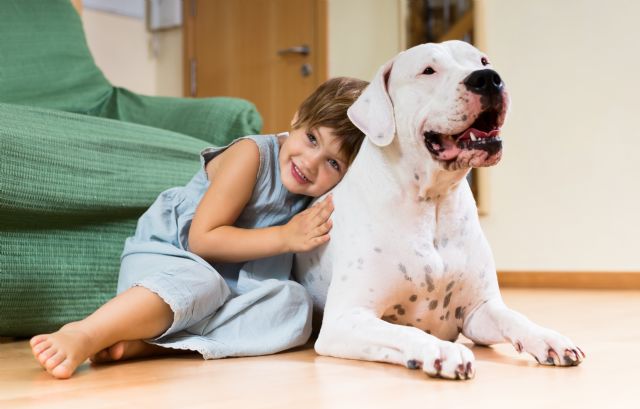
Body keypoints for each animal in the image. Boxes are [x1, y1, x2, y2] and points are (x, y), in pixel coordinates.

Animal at [296, 41, 584, 380]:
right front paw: (441, 350)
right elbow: (404, 330)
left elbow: (513, 317)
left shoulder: (478, 311)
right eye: (428, 70)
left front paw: (548, 338)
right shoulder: (345, 318)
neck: (433, 203)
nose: (488, 78)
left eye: (483, 60)